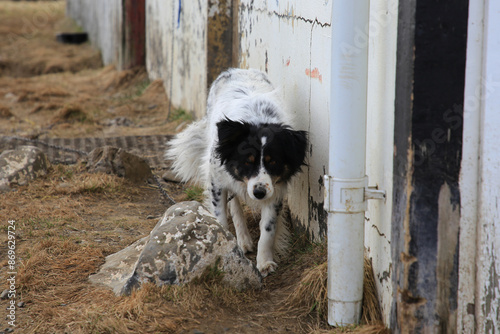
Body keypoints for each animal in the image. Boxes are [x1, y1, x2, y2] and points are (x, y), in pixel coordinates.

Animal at [168, 68, 306, 276]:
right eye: (247, 162)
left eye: (273, 162)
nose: (259, 193)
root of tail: (238, 70)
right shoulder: (217, 181)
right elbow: (221, 218)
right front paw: (224, 249)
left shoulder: (275, 189)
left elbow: (268, 229)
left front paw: (264, 262)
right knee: (234, 206)